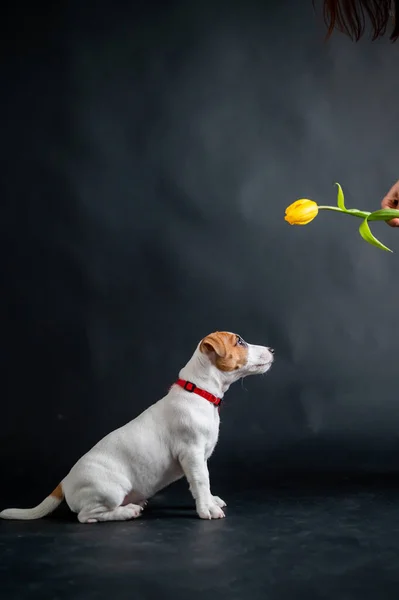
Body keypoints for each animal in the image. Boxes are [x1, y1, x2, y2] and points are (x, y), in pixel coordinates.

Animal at [0, 330, 274, 524]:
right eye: (239, 342)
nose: (272, 348)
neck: (199, 391)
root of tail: (64, 482)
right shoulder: (192, 454)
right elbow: (201, 480)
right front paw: (207, 509)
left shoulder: (200, 457)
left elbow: (202, 484)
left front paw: (210, 500)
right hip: (111, 489)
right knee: (86, 516)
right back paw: (127, 511)